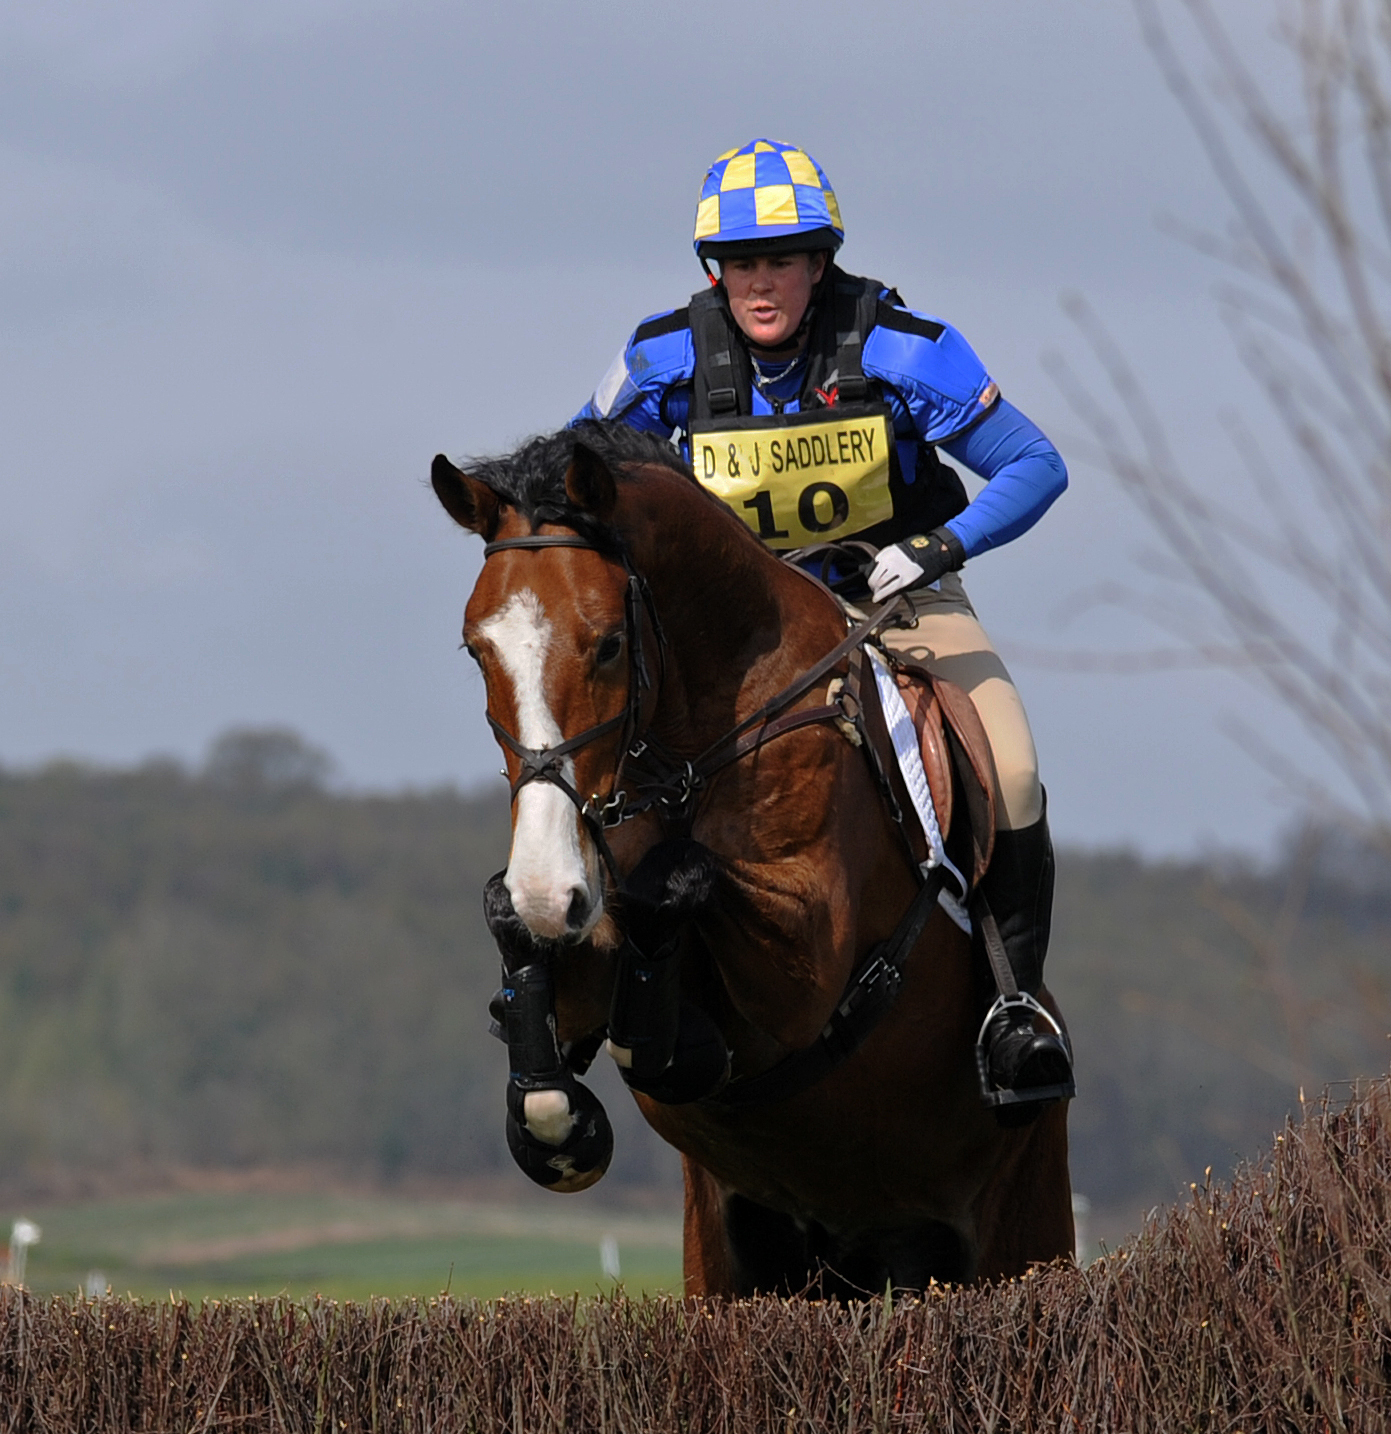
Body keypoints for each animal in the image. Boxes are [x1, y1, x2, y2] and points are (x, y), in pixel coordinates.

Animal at [431, 423, 1073, 1296]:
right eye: (476, 650)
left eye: (609, 644)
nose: (548, 889)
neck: (692, 745)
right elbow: (525, 923)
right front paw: (557, 1118)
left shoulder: (808, 963)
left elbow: (672, 882)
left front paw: (667, 1038)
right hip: (735, 1258)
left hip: (1023, 1232)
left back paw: (1021, 1044)